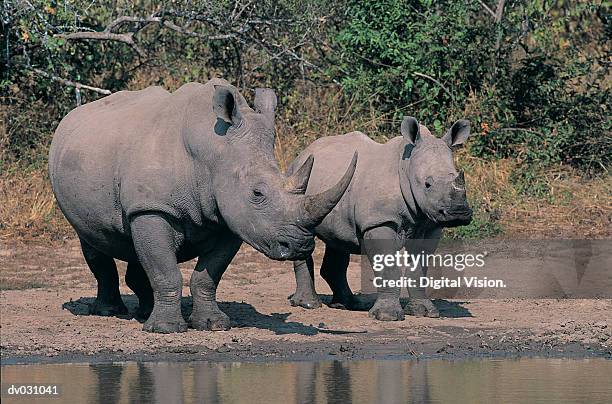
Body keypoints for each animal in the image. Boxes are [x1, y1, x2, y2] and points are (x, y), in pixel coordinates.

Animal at [50, 78, 356, 332]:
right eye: (257, 193)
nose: (301, 246)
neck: (214, 152)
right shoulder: (153, 207)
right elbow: (166, 271)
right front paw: (166, 330)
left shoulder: (231, 217)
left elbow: (208, 275)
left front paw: (213, 325)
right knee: (91, 238)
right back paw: (109, 312)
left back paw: (144, 312)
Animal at [288, 116, 474, 318]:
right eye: (427, 184)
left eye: (459, 177)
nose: (458, 212)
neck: (407, 167)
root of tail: (303, 153)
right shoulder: (379, 221)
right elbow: (388, 267)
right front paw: (387, 316)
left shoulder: (430, 225)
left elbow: (419, 269)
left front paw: (424, 311)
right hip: (299, 181)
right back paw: (309, 304)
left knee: (338, 239)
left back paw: (349, 305)